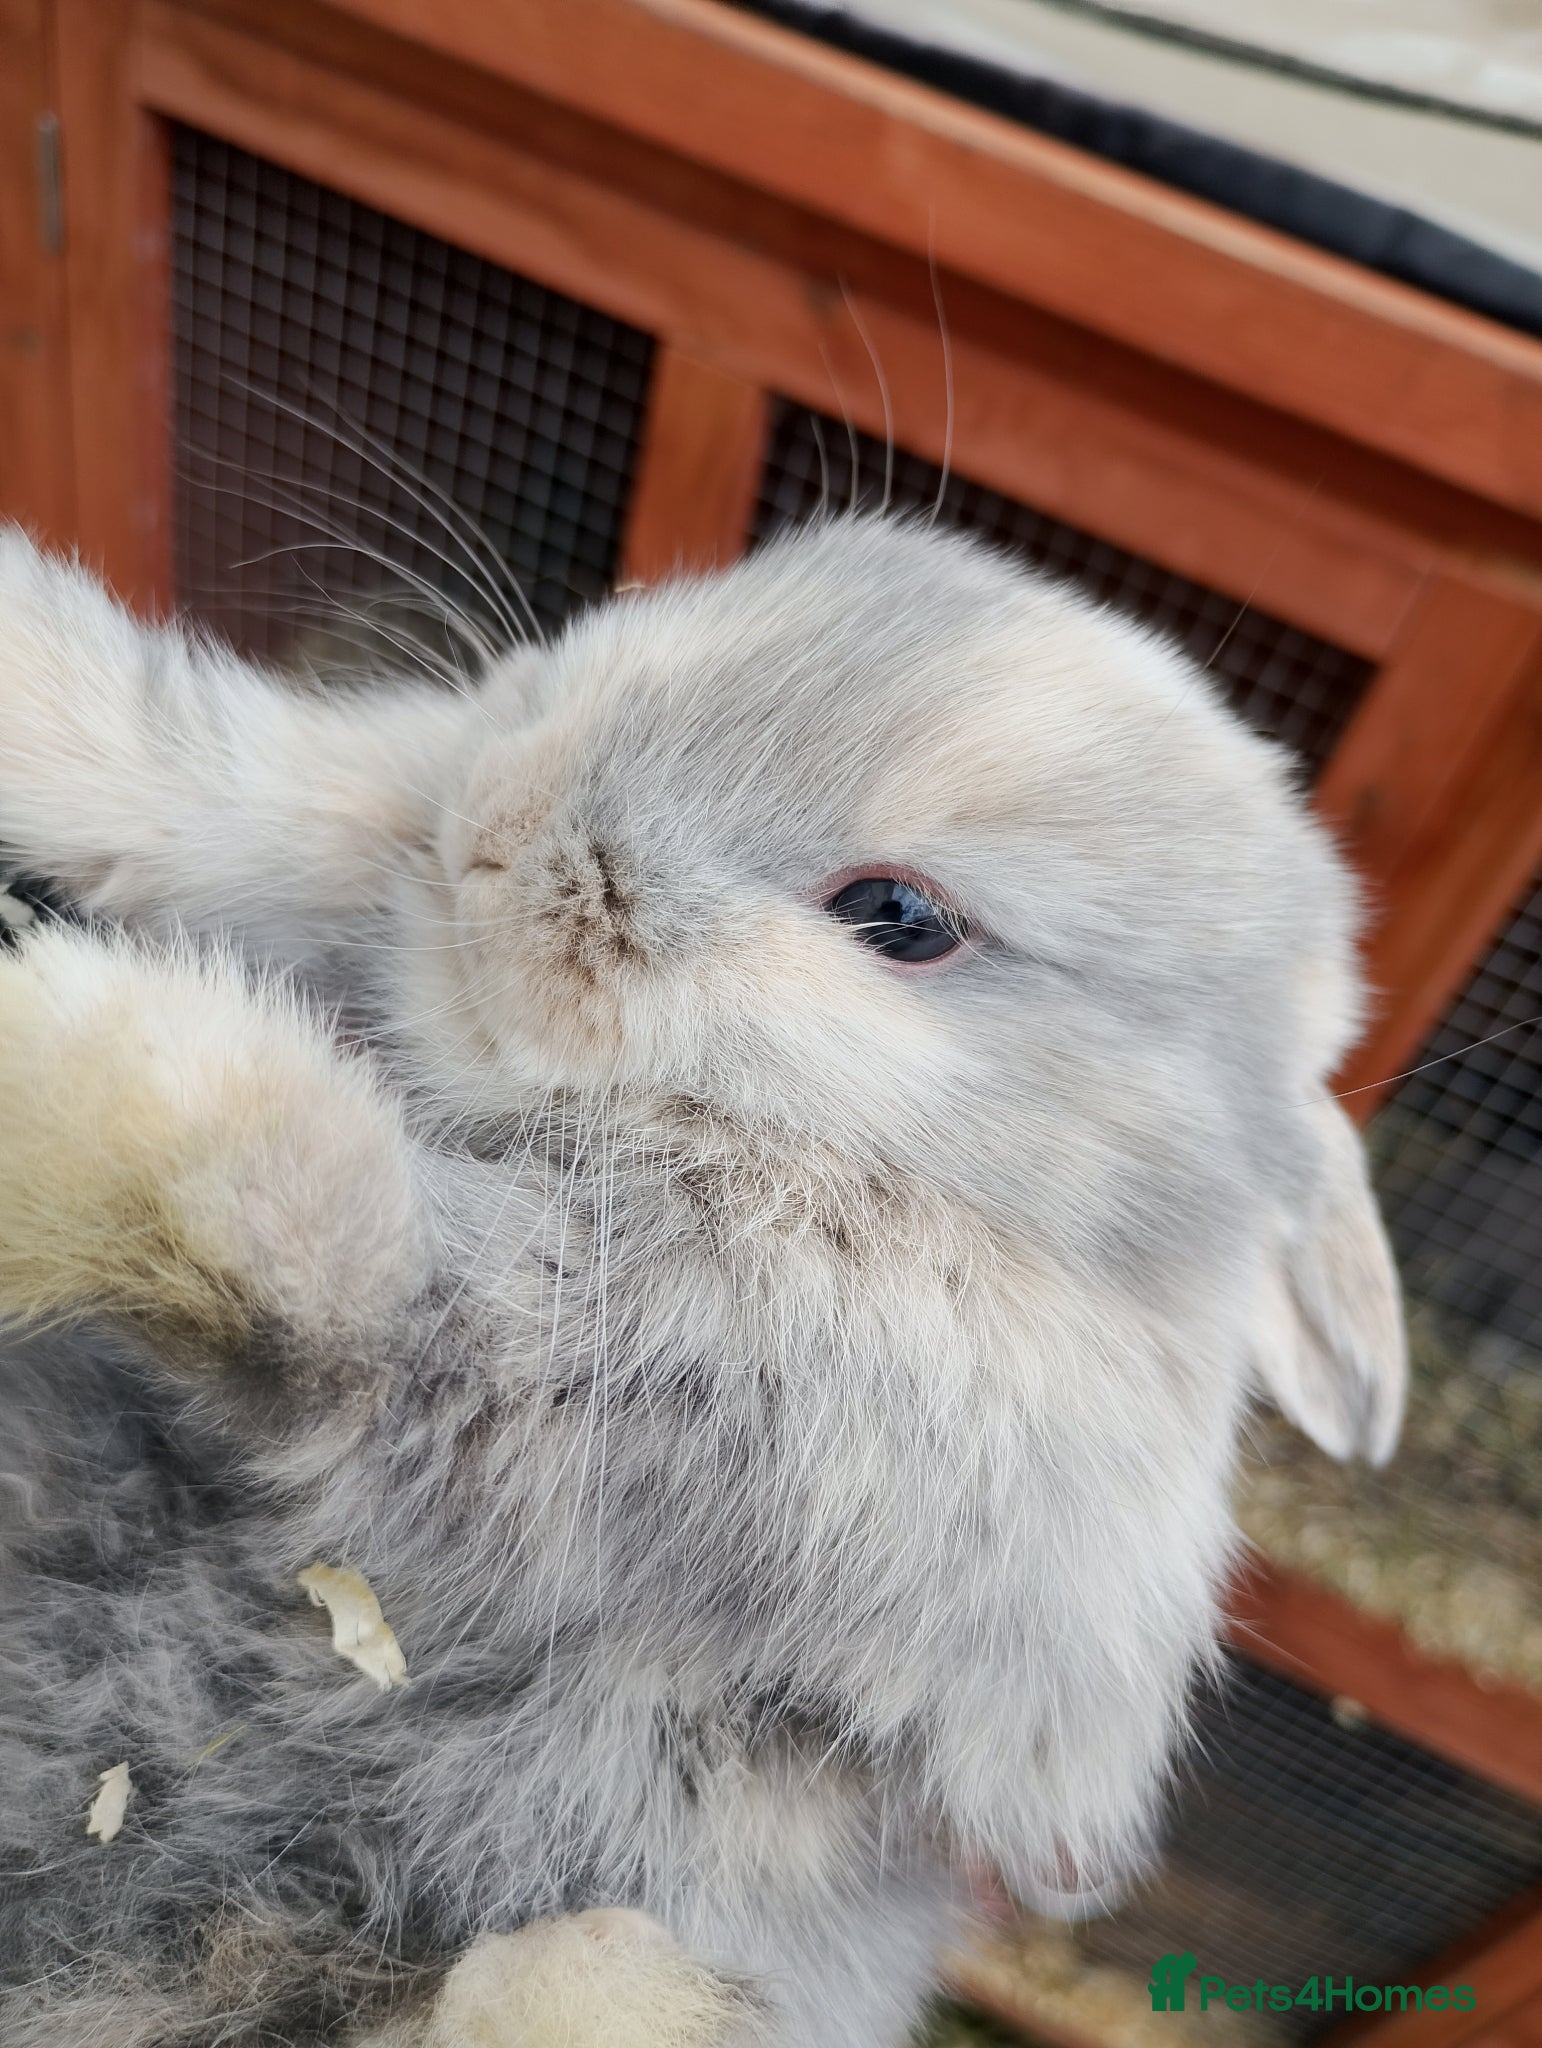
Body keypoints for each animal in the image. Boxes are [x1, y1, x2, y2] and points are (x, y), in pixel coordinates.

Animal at [0, 513, 1405, 2048]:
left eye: (900, 916)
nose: (501, 830)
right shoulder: (333, 812)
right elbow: (193, 770)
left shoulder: (605, 1391)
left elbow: (310, 1252)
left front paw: (61, 1039)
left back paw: (598, 1980)